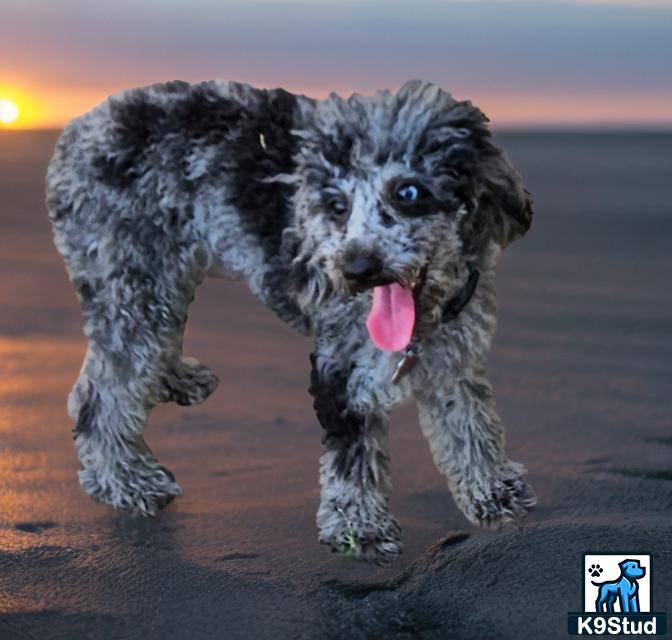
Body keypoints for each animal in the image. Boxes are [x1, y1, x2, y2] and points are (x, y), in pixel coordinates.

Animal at [46, 77, 536, 564]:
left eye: (409, 192)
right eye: (336, 205)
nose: (355, 268)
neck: (427, 310)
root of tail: (78, 130)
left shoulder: (456, 357)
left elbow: (472, 426)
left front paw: (493, 491)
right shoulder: (341, 367)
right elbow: (352, 455)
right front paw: (360, 528)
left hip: (159, 278)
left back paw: (173, 381)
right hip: (133, 278)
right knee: (101, 392)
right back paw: (125, 479)